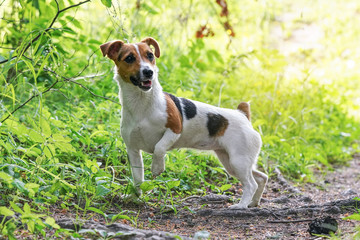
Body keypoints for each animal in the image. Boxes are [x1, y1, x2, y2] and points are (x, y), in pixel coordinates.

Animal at [99, 37, 268, 208]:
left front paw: (157, 167)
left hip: (238, 160)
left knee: (251, 184)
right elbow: (138, 178)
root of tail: (243, 115)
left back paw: (241, 205)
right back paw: (253, 202)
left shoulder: (175, 129)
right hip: (231, 162)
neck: (141, 104)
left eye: (150, 55)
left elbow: (159, 148)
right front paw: (135, 197)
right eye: (129, 58)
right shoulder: (133, 150)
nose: (148, 72)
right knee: (262, 177)